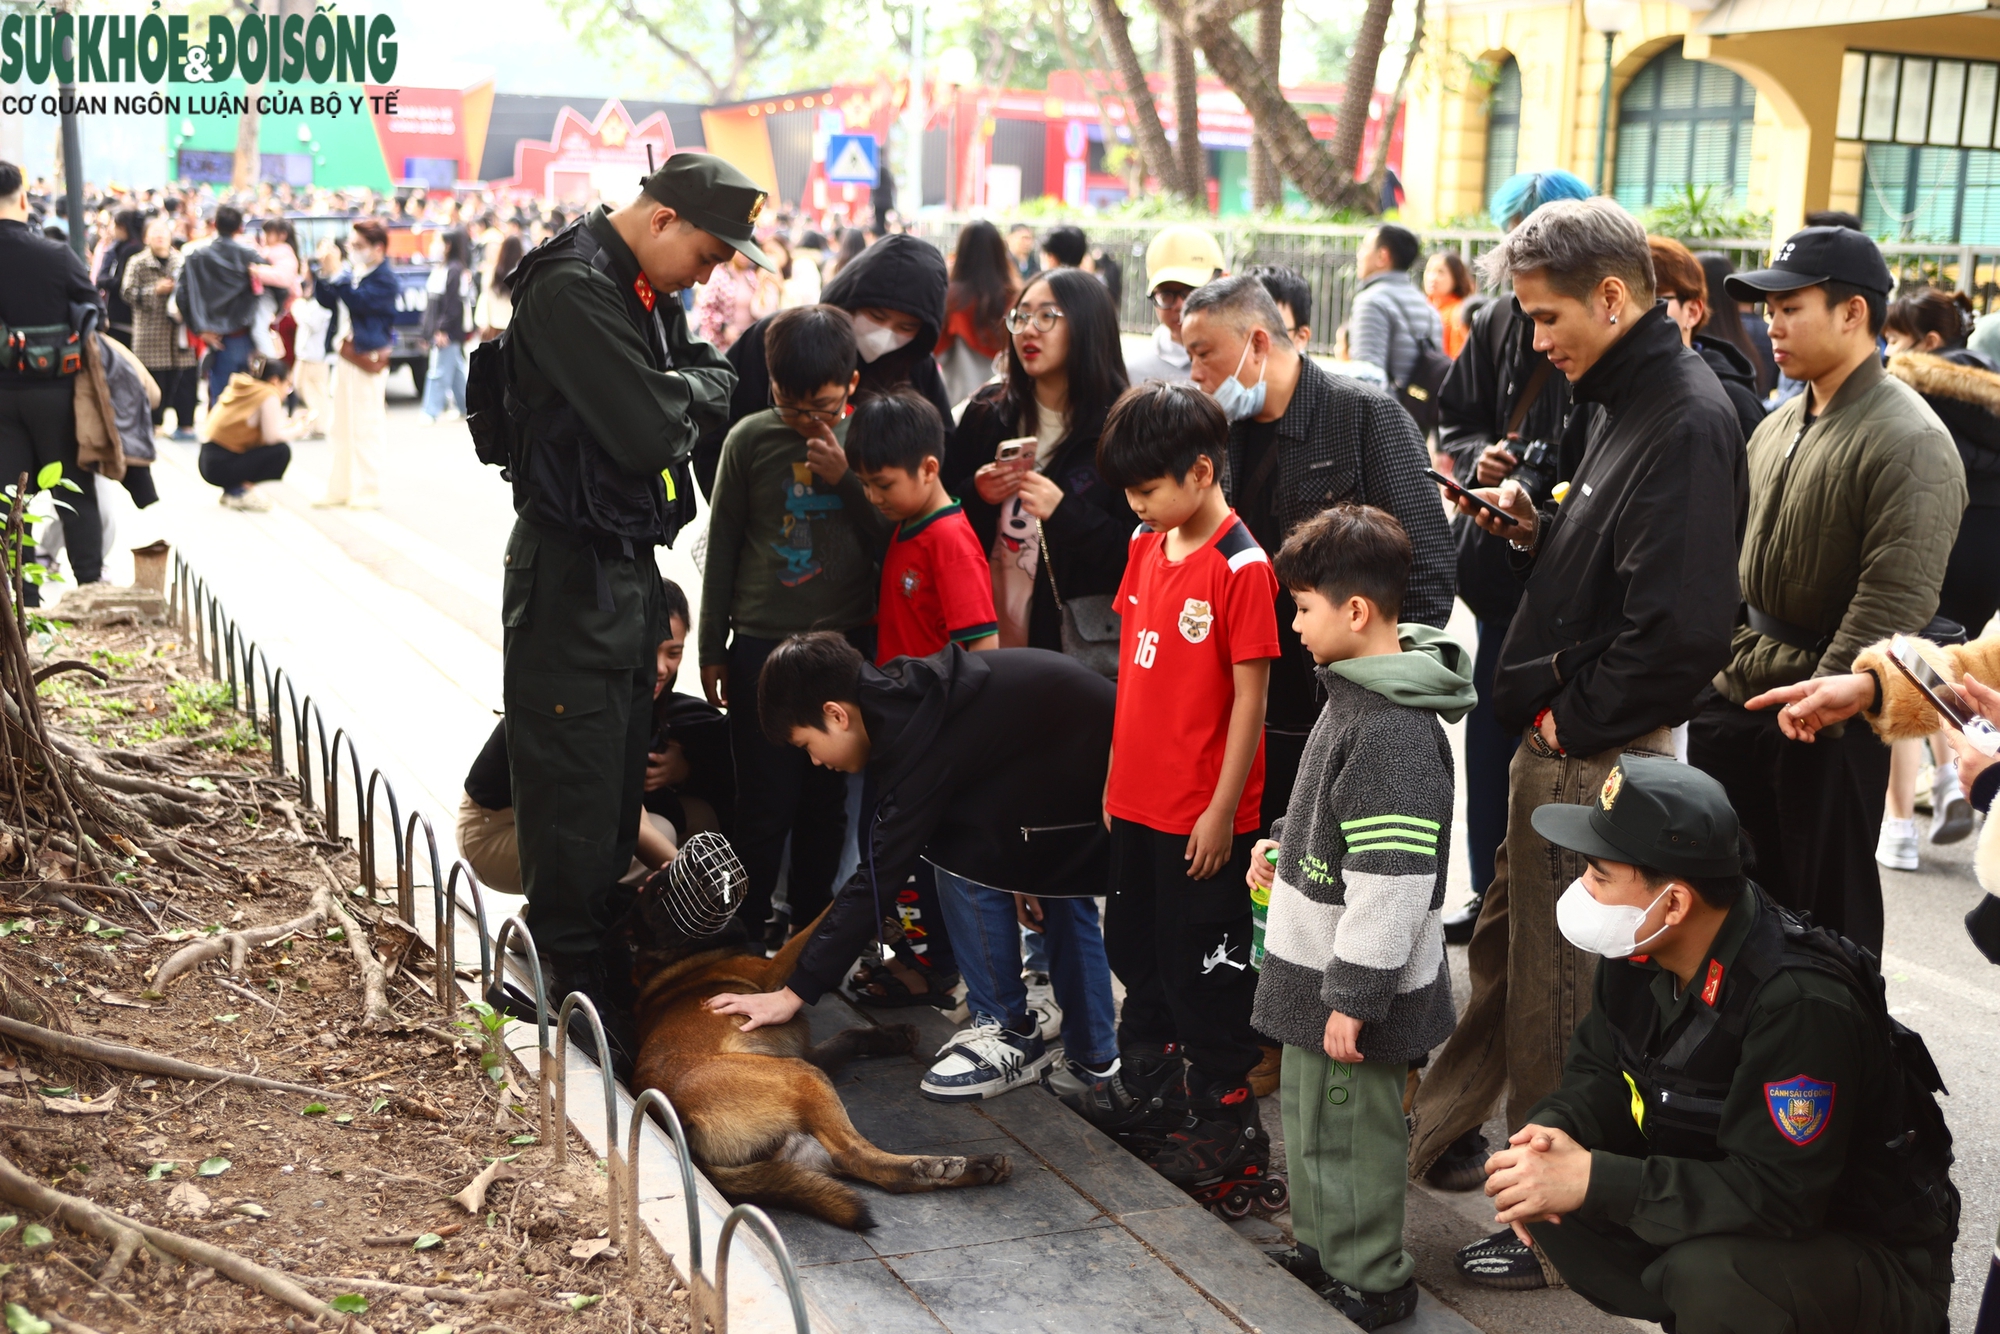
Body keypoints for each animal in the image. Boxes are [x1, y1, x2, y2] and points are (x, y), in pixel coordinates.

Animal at [620, 880, 1008, 1224]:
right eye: (659, 891)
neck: (677, 958)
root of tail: (676, 1121)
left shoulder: (807, 1051)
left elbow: (847, 1037)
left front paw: (891, 1036)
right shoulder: (774, 974)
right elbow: (813, 931)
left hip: (802, 1124)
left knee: (867, 1171)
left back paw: (975, 1167)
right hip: (801, 1077)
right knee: (857, 1156)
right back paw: (942, 1166)